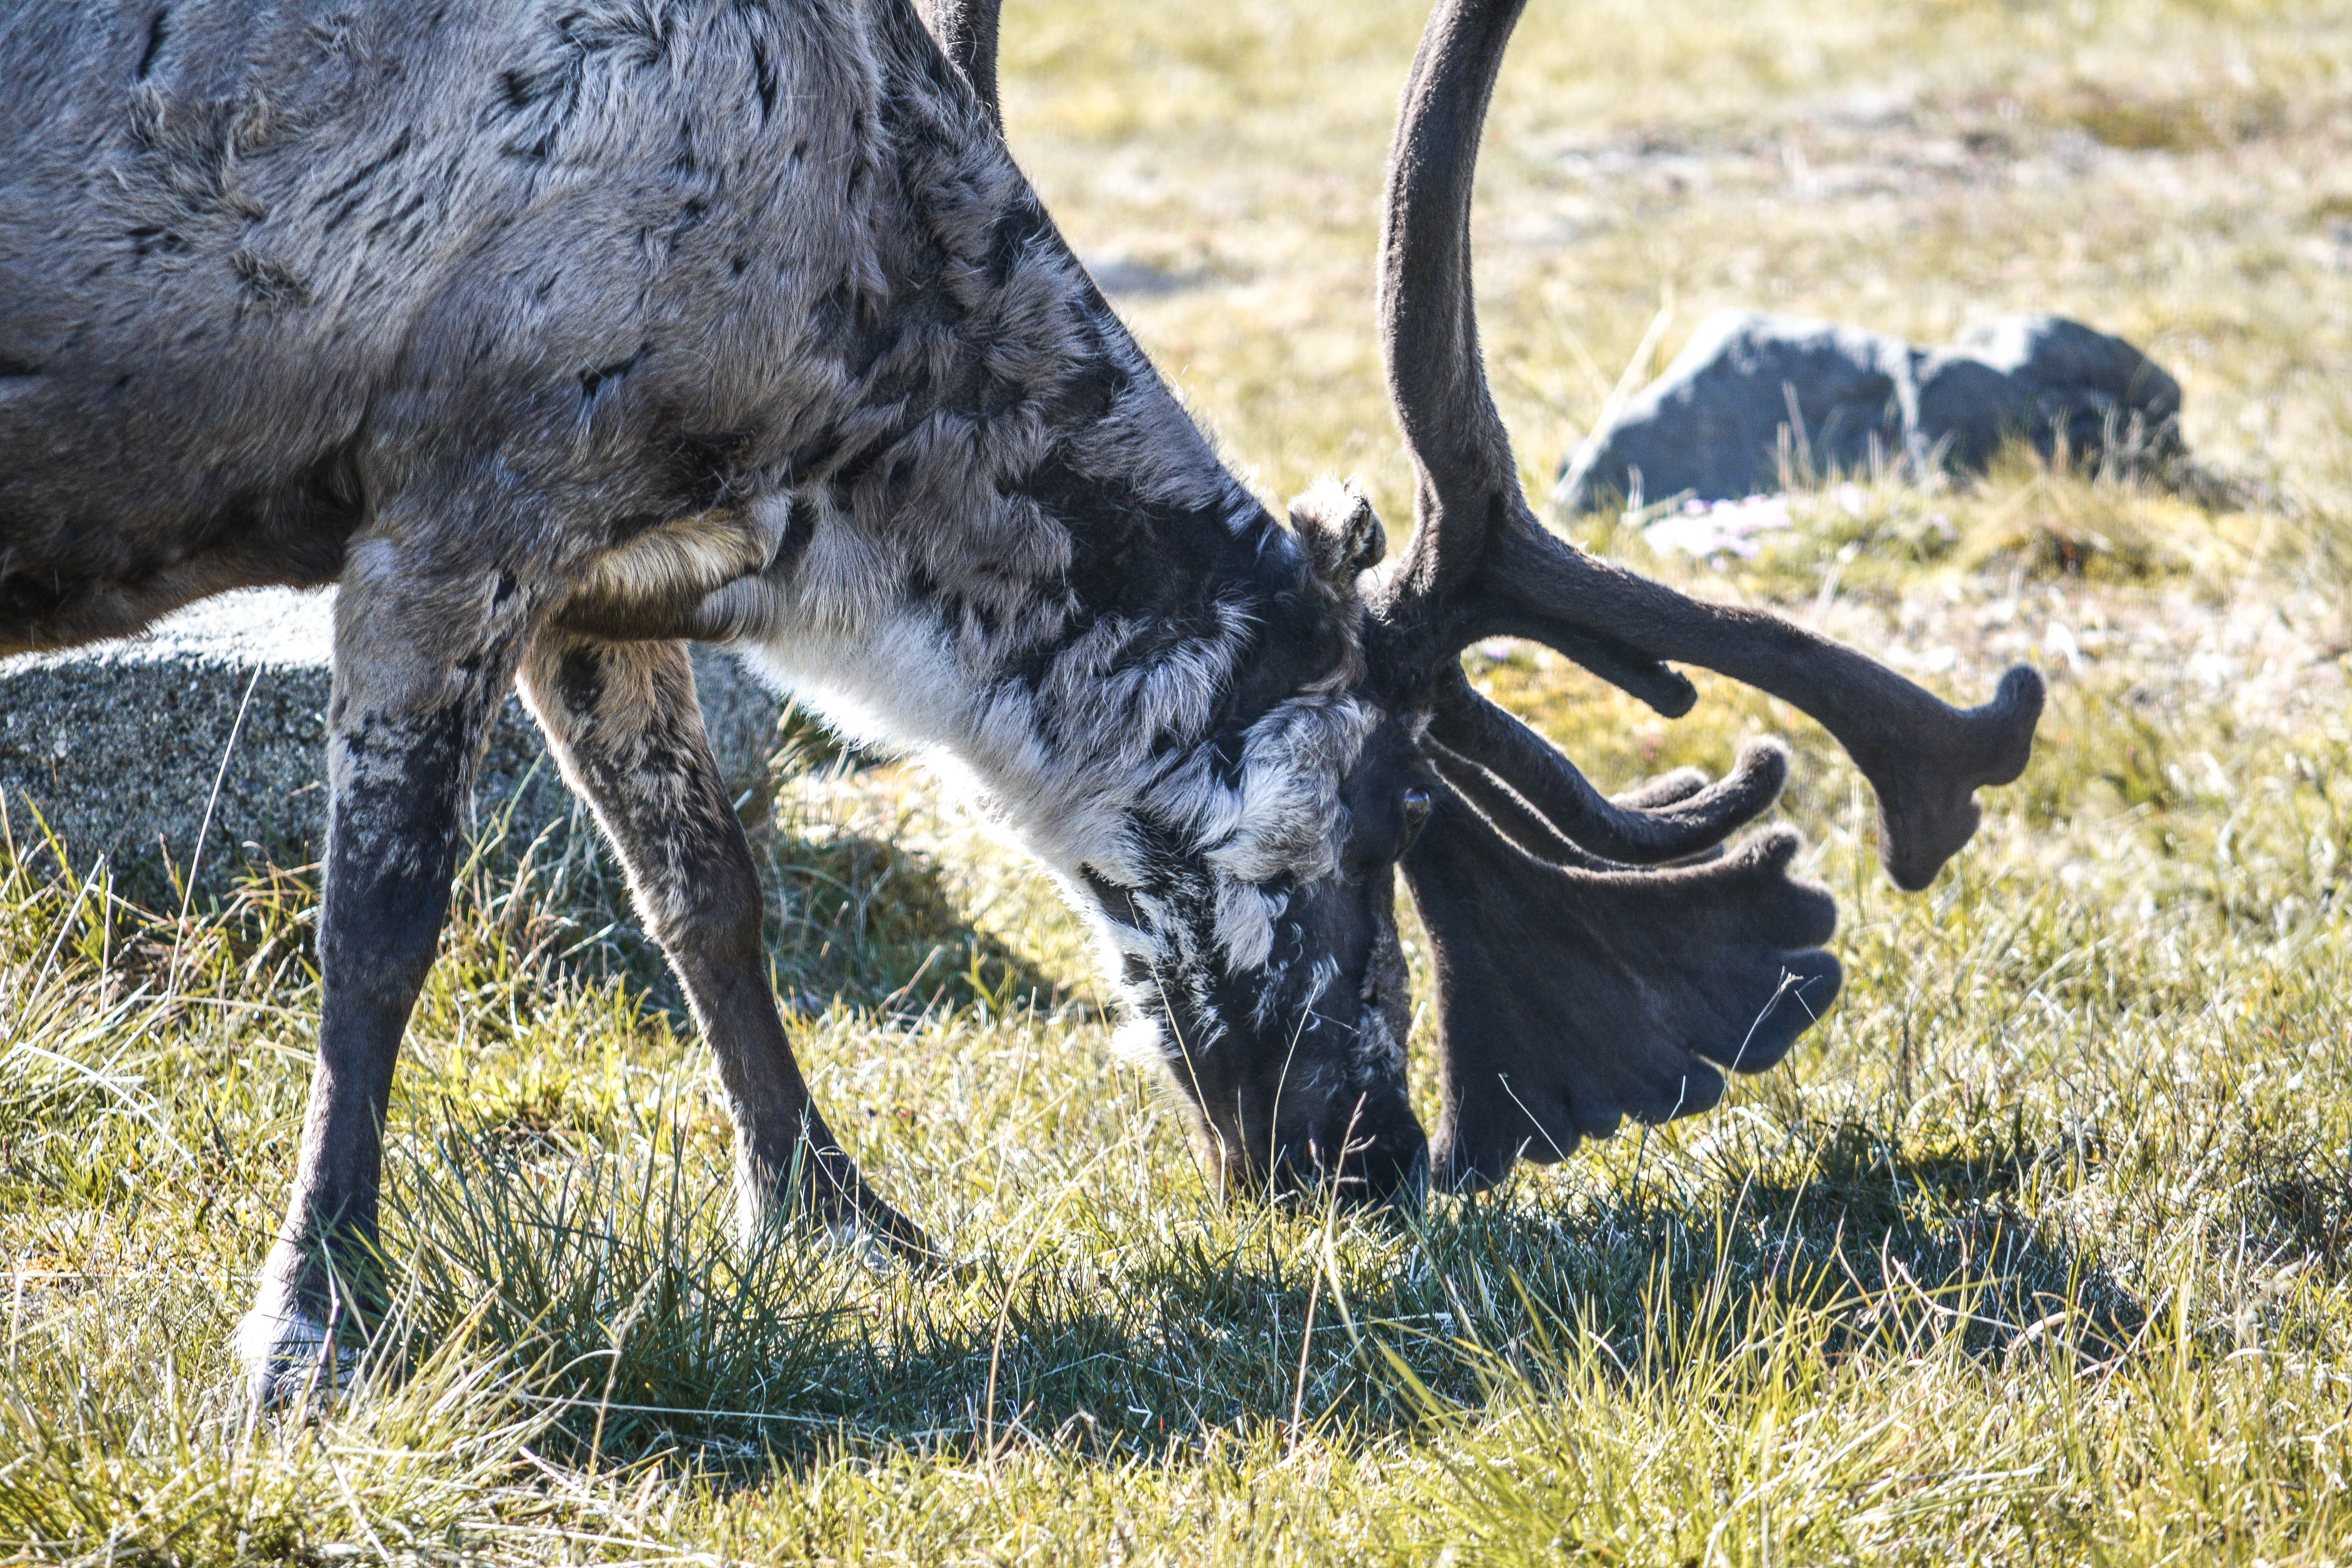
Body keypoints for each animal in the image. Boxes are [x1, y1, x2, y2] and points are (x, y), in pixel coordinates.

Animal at [0, 0, 2043, 1402]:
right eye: (1391, 805)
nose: (1377, 1160)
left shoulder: (600, 576)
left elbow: (705, 894)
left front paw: (839, 1219)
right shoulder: (451, 511)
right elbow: (380, 925)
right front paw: (310, 1315)